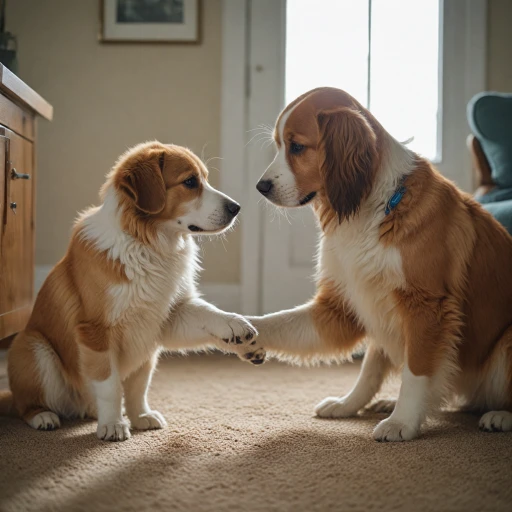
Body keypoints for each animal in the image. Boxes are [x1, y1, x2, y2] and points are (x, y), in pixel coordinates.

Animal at [0, 142, 264, 442]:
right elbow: (111, 386)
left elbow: (141, 383)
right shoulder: (96, 332)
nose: (236, 208)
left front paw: (140, 416)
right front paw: (113, 424)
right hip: (33, 347)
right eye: (190, 182)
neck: (147, 245)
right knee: (25, 404)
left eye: (204, 179)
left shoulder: (166, 320)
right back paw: (43, 416)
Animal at [251, 87, 512, 440]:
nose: (261, 187)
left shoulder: (425, 306)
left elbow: (416, 370)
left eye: (296, 147)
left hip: (506, 341)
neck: (373, 207)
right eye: (279, 144)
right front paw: (349, 405)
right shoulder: (348, 305)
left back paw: (499, 415)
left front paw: (403, 422)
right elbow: (366, 368)